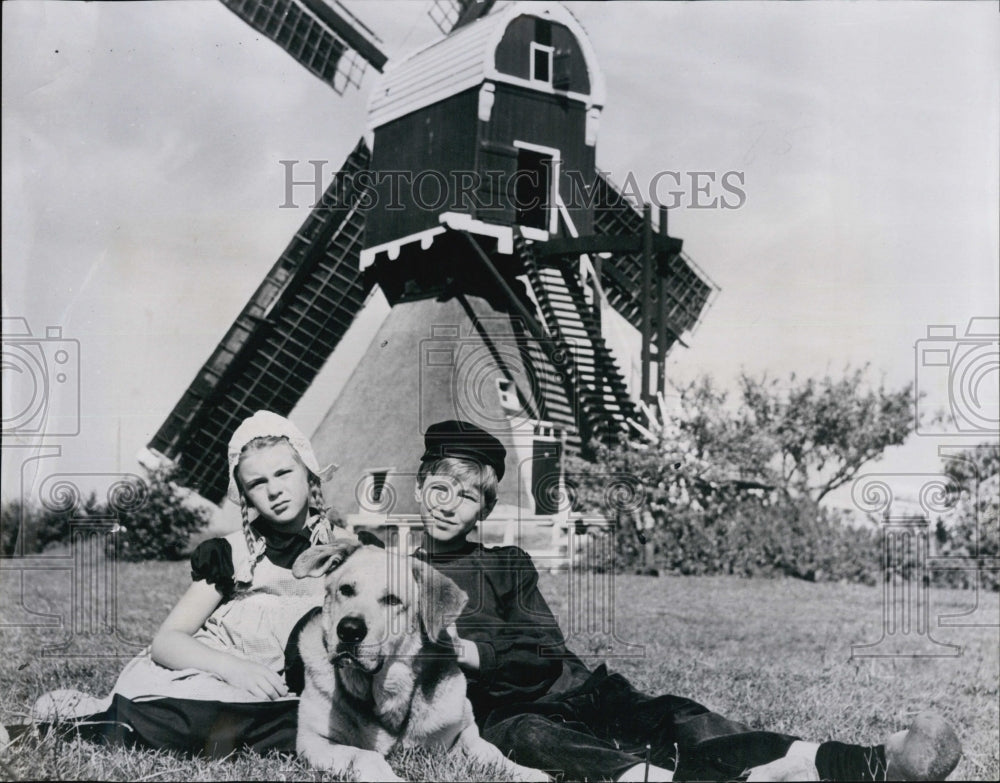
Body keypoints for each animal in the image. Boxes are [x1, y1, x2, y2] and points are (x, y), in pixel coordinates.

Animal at [292, 540, 548, 783]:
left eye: (392, 600)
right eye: (345, 590)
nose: (348, 630)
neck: (386, 693)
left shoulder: (463, 731)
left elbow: (491, 752)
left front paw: (527, 772)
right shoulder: (312, 740)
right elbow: (365, 755)